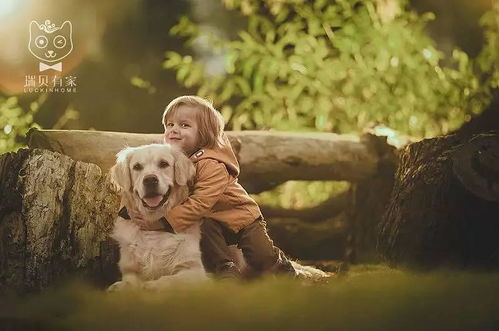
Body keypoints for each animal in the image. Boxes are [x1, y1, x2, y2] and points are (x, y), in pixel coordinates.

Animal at [107, 144, 209, 292]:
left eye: (163, 164)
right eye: (137, 167)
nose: (150, 180)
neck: (153, 227)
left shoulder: (194, 270)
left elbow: (171, 280)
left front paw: (151, 286)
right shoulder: (130, 269)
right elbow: (129, 281)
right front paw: (120, 287)